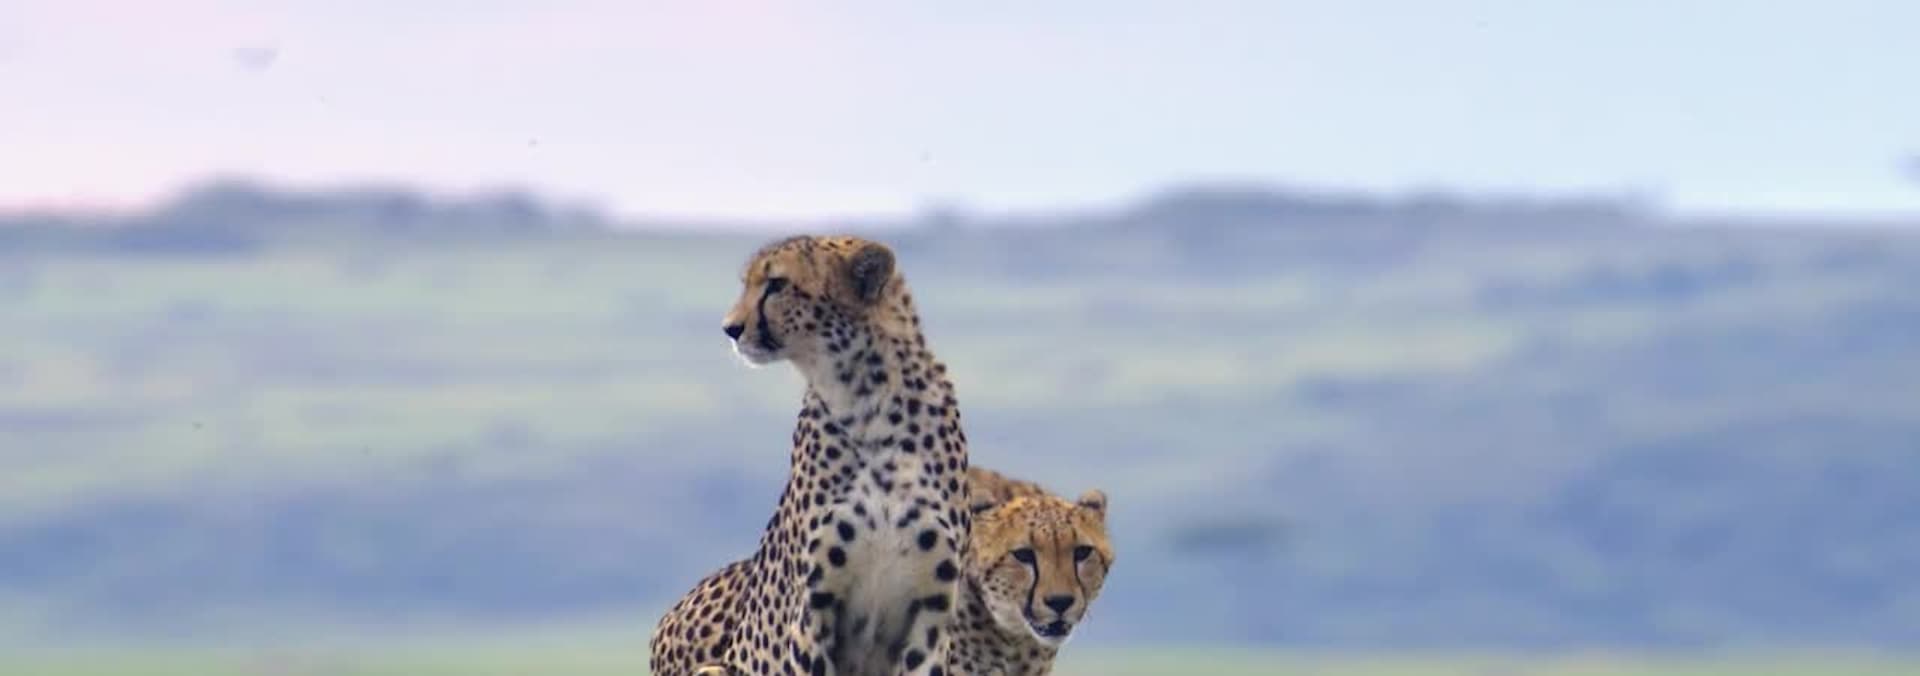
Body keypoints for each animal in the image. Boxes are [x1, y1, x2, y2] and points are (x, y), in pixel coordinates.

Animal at [650, 235, 972, 676]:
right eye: (748, 283)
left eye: (777, 284)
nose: (730, 328)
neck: (868, 400)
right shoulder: (813, 615)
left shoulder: (930, 622)